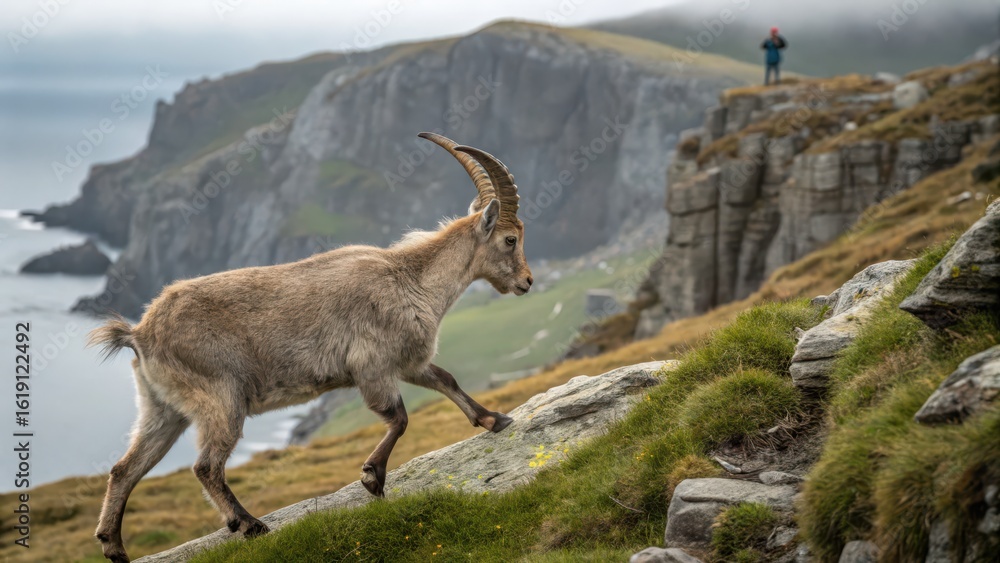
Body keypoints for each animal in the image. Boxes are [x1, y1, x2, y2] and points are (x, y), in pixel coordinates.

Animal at [88, 132, 533, 563]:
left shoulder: (407, 362)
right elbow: (400, 418)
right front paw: (373, 477)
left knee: (125, 469)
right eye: (510, 239)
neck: (412, 280)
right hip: (221, 396)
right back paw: (249, 524)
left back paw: (114, 545)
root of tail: (140, 333)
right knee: (205, 466)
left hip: (162, 407)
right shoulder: (372, 366)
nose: (527, 282)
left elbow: (446, 380)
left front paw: (495, 419)